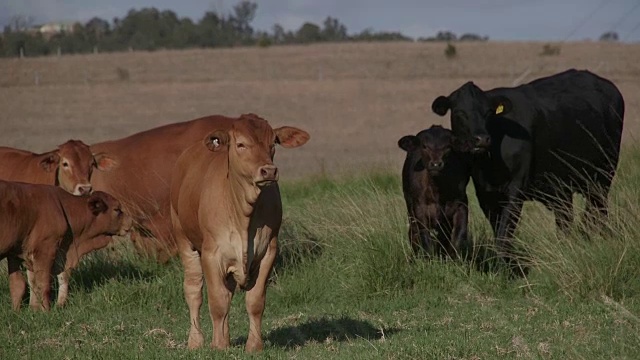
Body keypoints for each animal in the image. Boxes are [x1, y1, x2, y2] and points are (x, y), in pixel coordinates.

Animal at [0, 181, 131, 310]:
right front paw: (46, 310)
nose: (130, 222)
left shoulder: (18, 252)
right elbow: (43, 284)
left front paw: (26, 310)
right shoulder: (45, 250)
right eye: (117, 209)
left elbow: (20, 285)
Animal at [170, 116, 310, 352]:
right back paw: (196, 341)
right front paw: (217, 346)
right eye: (241, 144)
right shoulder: (211, 253)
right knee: (194, 291)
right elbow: (217, 302)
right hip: (184, 240)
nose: (268, 171)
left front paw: (253, 345)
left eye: (273, 143)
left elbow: (255, 301)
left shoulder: (268, 251)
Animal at [398, 125, 472, 258]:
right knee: (413, 233)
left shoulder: (461, 204)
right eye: (424, 146)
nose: (436, 164)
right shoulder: (419, 208)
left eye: (448, 146)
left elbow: (459, 235)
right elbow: (425, 237)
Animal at [432, 69, 624, 274]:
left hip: (603, 175)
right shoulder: (486, 194)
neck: (489, 164)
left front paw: (506, 270)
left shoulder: (516, 190)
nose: (481, 139)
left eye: (488, 112)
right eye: (459, 112)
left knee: (596, 212)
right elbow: (498, 231)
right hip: (563, 186)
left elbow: (504, 234)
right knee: (566, 219)